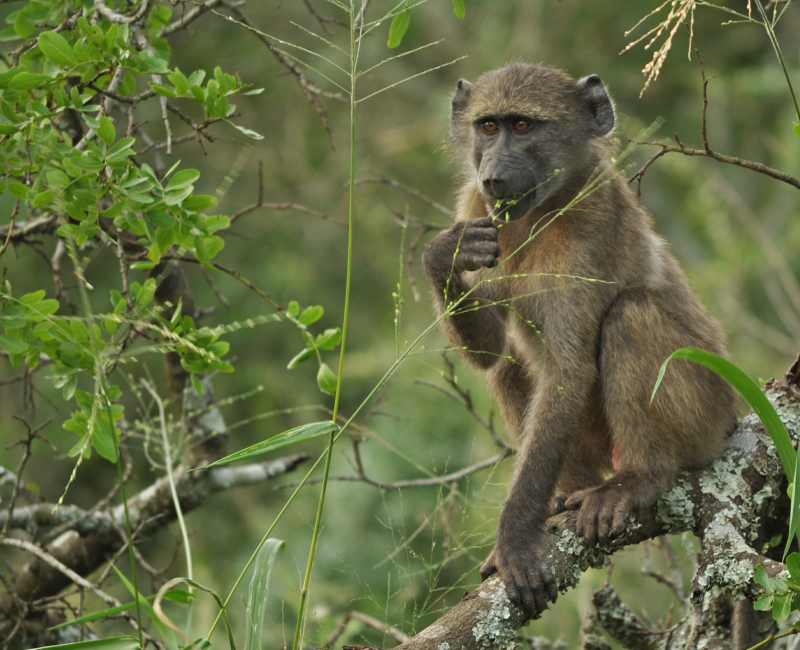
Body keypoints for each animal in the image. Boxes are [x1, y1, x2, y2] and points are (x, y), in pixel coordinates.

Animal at [422, 63, 737, 616]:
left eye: (523, 126)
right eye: (488, 126)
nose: (494, 176)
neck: (541, 210)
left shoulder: (589, 230)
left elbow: (568, 369)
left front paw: (515, 539)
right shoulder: (474, 206)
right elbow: (489, 351)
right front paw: (445, 254)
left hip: (706, 412)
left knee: (630, 316)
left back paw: (637, 480)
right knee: (511, 363)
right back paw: (566, 495)